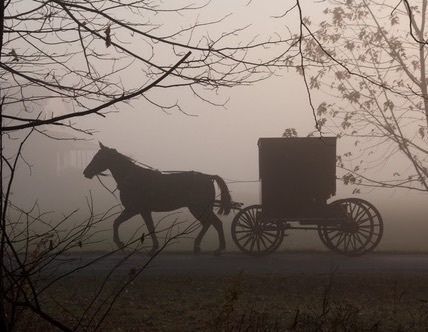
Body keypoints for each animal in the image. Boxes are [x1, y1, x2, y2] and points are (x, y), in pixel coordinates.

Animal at [82, 142, 232, 254]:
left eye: (98, 157)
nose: (86, 172)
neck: (131, 178)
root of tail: (208, 177)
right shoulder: (144, 210)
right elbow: (149, 226)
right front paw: (154, 246)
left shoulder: (133, 209)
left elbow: (117, 223)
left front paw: (120, 244)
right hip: (200, 208)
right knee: (211, 223)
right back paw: (204, 246)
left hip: (198, 208)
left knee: (213, 223)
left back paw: (215, 248)